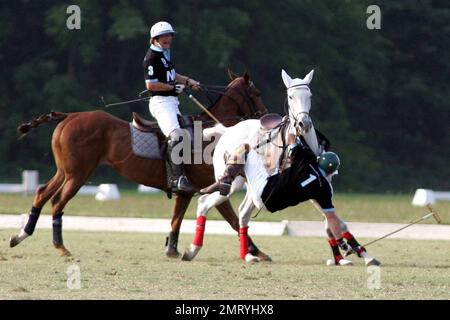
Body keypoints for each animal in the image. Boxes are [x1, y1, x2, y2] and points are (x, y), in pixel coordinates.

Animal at [9, 70, 270, 260]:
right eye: (256, 92)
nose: (267, 117)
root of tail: (69, 116)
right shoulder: (214, 186)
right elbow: (234, 220)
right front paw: (257, 252)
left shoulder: (185, 192)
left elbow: (176, 219)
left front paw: (172, 250)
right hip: (78, 174)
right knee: (57, 201)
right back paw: (60, 247)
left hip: (64, 171)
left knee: (42, 193)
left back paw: (20, 235)